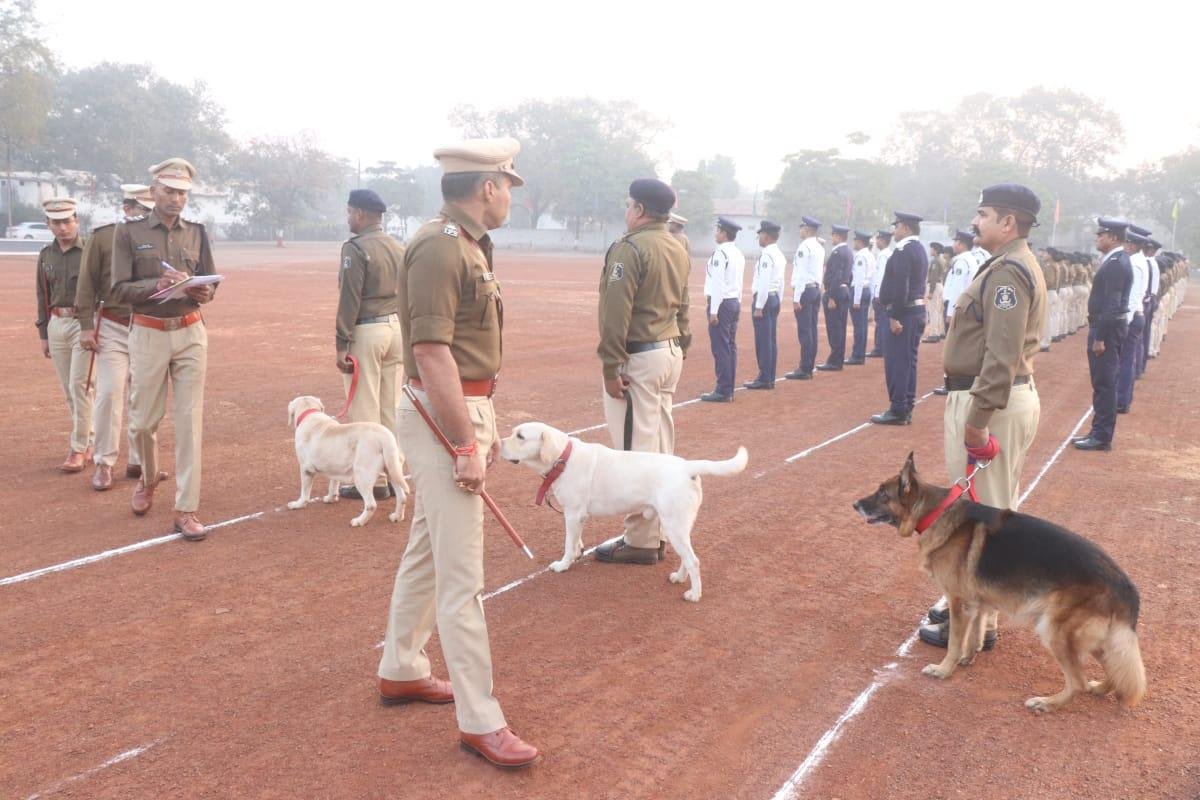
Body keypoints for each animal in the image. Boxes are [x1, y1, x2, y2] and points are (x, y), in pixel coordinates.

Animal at [285, 398, 408, 527]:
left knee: (371, 505)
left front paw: (298, 504)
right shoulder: (334, 467)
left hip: (362, 476)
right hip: (392, 470)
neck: (310, 413)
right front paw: (331, 498)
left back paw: (359, 521)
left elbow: (304, 493)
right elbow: (333, 484)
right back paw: (397, 517)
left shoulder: (306, 469)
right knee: (402, 497)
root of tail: (385, 437)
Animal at [499, 422, 744, 604]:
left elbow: (568, 544)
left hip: (674, 525)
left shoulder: (573, 514)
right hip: (679, 526)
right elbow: (576, 541)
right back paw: (679, 577)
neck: (563, 458)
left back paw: (694, 595)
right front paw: (577, 554)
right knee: (687, 557)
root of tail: (687, 467)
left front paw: (563, 565)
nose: (497, 444)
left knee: (694, 560)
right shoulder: (577, 517)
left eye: (520, 436)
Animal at [854, 450, 1142, 714]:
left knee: (1078, 682)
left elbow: (954, 642)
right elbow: (974, 635)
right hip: (1093, 637)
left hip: (1053, 631)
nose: (855, 504)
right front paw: (967, 658)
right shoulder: (977, 604)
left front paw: (944, 669)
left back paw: (1047, 703)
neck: (936, 511)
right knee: (1113, 668)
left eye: (882, 493)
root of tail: (1124, 584)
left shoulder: (958, 603)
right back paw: (1100, 688)